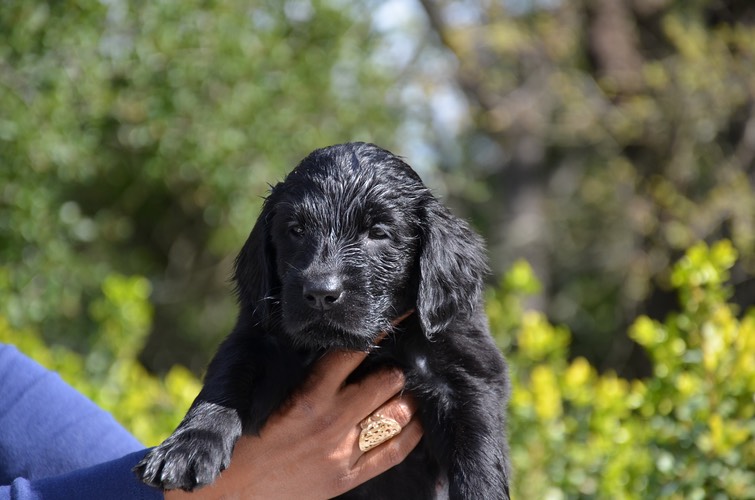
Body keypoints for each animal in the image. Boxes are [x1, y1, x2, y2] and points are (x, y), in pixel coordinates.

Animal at [137, 143, 512, 498]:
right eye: (296, 230)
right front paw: (187, 447)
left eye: (378, 232)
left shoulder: (468, 373)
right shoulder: (258, 338)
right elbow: (226, 381)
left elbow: (478, 452)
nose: (320, 293)